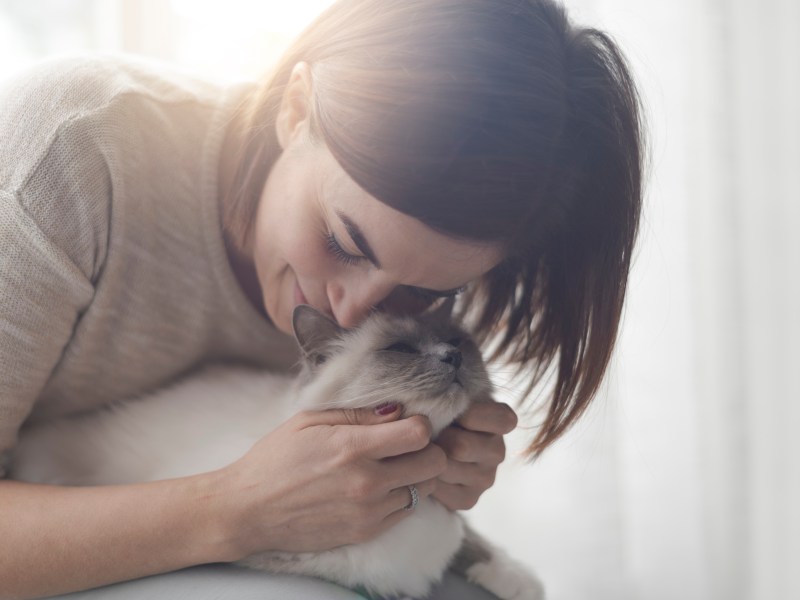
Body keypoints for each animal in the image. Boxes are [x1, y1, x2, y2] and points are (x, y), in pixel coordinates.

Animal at [10, 304, 544, 600]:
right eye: (400, 350)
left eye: (457, 342)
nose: (451, 356)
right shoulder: (263, 544)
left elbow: (472, 540)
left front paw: (518, 580)